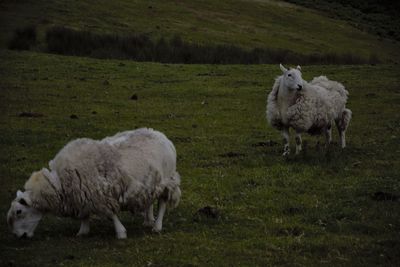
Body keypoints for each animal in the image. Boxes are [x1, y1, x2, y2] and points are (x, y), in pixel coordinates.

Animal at [6, 129, 181, 240]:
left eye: (19, 212)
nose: (18, 236)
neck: (59, 184)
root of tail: (163, 137)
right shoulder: (82, 195)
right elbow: (85, 215)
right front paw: (82, 231)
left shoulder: (100, 195)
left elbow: (111, 215)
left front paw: (121, 233)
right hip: (150, 183)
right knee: (150, 200)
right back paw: (148, 220)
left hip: (167, 181)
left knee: (163, 202)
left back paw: (157, 226)